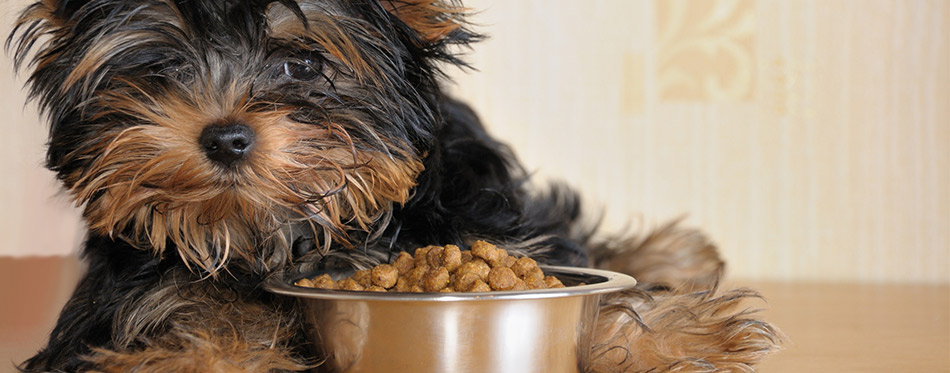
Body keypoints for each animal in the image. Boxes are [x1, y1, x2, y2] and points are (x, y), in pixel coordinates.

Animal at [7, 1, 780, 370]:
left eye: (302, 64)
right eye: (160, 68)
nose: (225, 136)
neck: (285, 233)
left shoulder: (477, 223)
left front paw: (678, 335)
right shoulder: (134, 295)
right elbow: (190, 327)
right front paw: (194, 359)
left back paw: (678, 256)